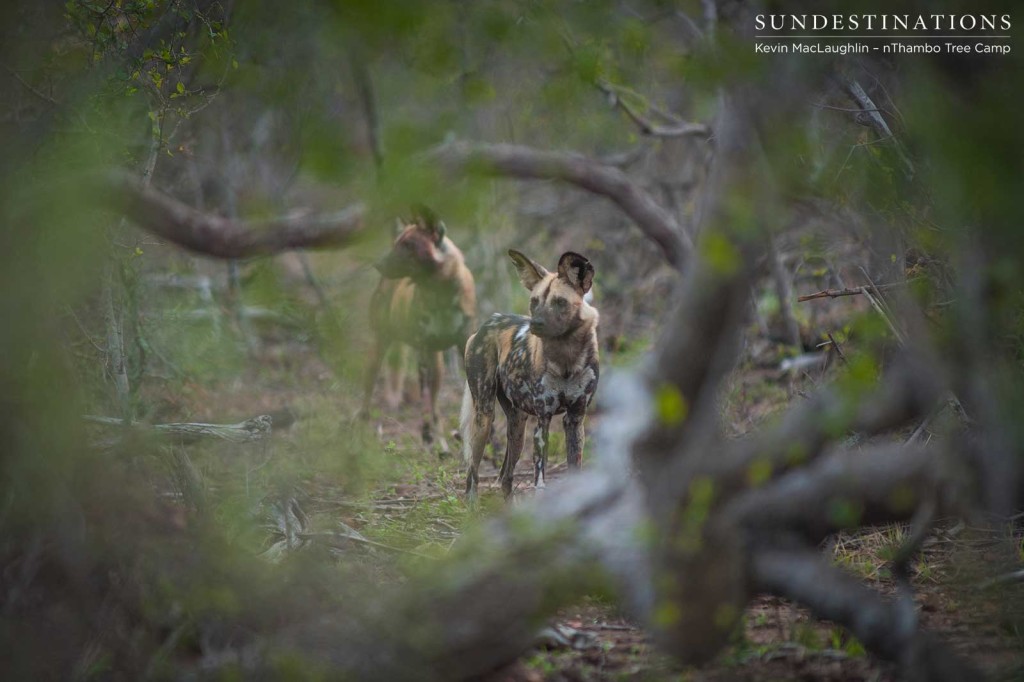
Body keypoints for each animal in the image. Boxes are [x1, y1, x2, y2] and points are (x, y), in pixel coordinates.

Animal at [362, 204, 477, 454]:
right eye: (398, 243)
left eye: (408, 245)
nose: (378, 264)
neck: (441, 297)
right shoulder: (424, 352)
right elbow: (425, 410)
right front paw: (429, 441)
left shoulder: (463, 345)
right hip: (382, 348)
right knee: (369, 395)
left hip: (437, 365)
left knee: (434, 407)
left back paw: (440, 442)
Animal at [460, 246, 598, 497]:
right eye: (534, 301)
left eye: (560, 302)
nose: (536, 323)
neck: (566, 358)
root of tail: (486, 324)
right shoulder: (543, 418)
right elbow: (540, 475)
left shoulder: (575, 418)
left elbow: (575, 467)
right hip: (484, 417)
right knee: (472, 474)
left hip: (518, 426)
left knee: (506, 477)